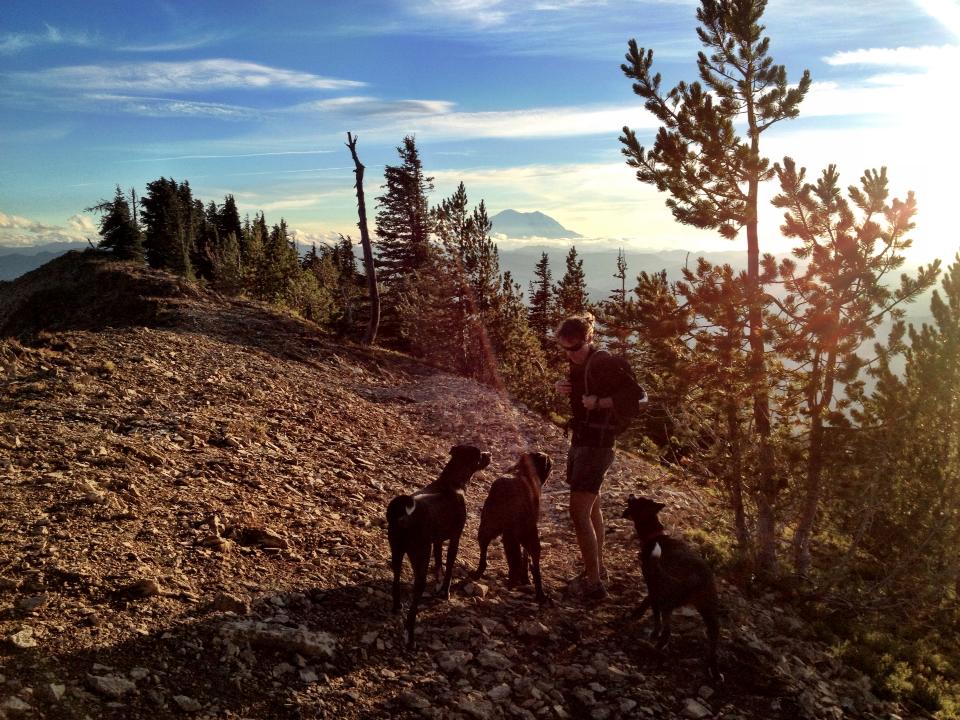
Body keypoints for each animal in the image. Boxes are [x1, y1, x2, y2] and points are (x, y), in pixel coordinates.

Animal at [386, 444, 492, 648]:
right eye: (480, 454)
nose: (490, 454)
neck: (452, 481)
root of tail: (403, 517)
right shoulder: (454, 539)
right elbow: (449, 567)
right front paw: (445, 592)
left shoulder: (437, 541)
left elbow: (438, 564)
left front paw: (438, 583)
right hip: (420, 559)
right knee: (413, 608)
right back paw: (411, 639)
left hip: (397, 552)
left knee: (395, 581)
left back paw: (396, 606)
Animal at [474, 452, 556, 604]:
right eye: (548, 462)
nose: (551, 460)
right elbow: (525, 558)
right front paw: (525, 578)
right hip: (528, 536)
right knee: (535, 567)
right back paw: (539, 594)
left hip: (487, 527)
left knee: (484, 553)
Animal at [624, 496, 720, 680]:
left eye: (637, 500)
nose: (630, 495)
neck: (655, 537)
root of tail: (698, 579)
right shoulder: (655, 587)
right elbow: (647, 602)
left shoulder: (653, 583)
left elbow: (653, 612)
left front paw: (649, 628)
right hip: (708, 608)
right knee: (714, 638)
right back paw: (714, 669)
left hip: (669, 603)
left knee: (667, 632)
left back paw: (654, 650)